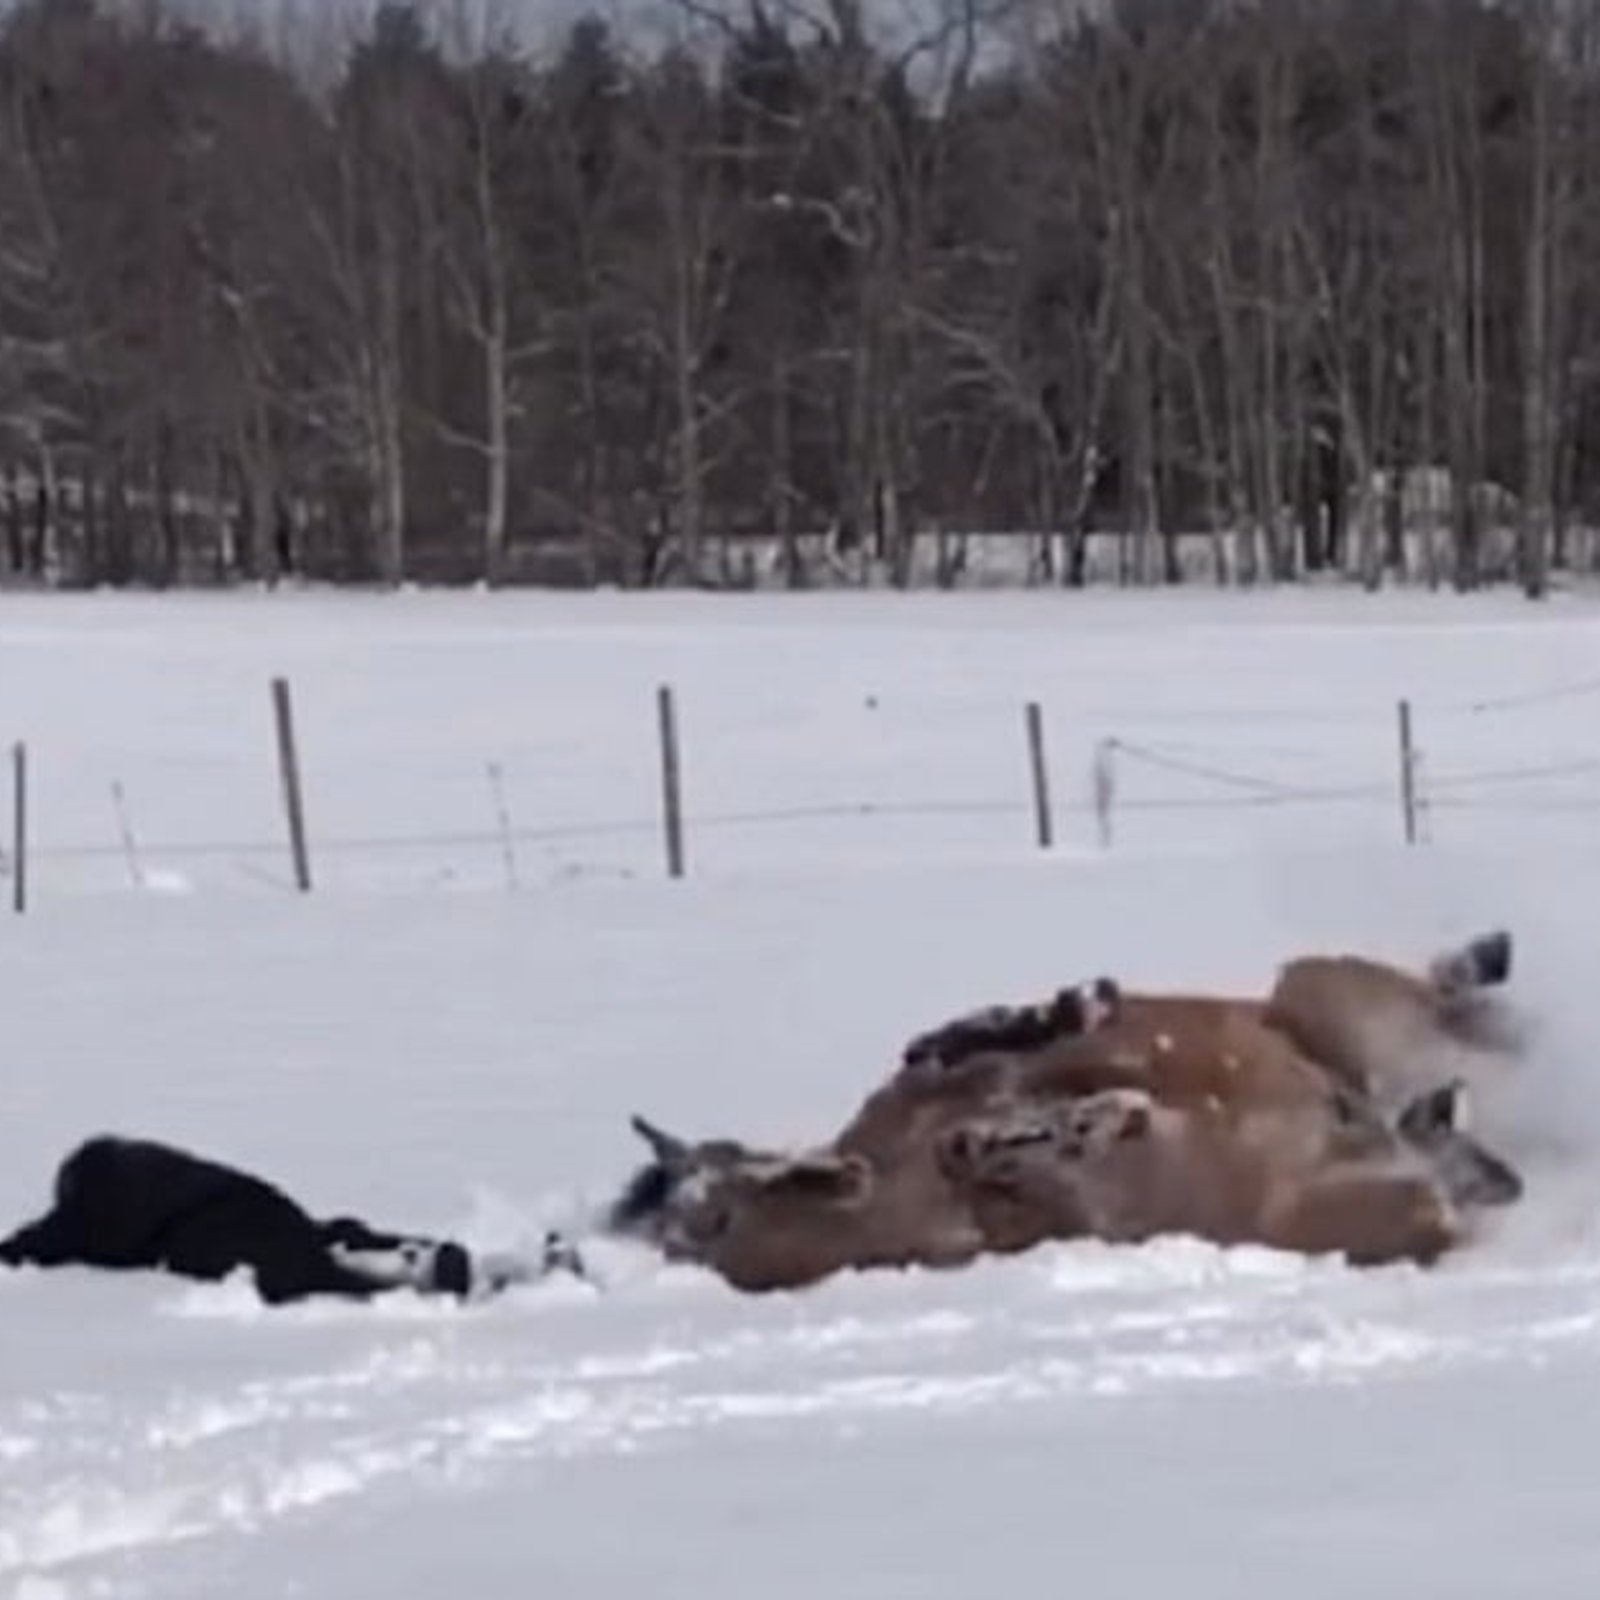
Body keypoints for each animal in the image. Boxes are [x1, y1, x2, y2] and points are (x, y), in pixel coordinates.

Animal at [608, 934, 1523, 1292]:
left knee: (1452, 1008)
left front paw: (1066, 1015)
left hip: (1317, 984)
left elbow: (969, 1045)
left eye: (710, 1199)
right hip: (1366, 1192)